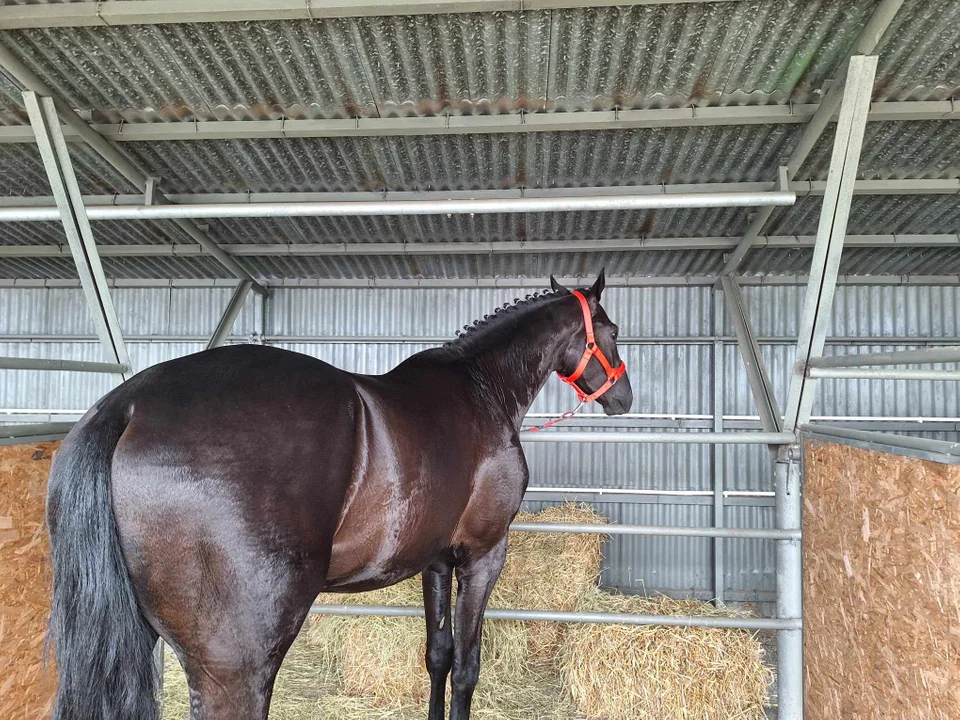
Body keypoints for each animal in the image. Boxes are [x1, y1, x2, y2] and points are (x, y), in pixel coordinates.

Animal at [47, 272, 632, 716]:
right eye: (612, 329)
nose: (623, 397)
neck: (480, 387)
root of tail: (127, 405)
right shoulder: (483, 554)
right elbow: (467, 668)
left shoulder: (436, 560)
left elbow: (438, 656)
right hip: (237, 664)